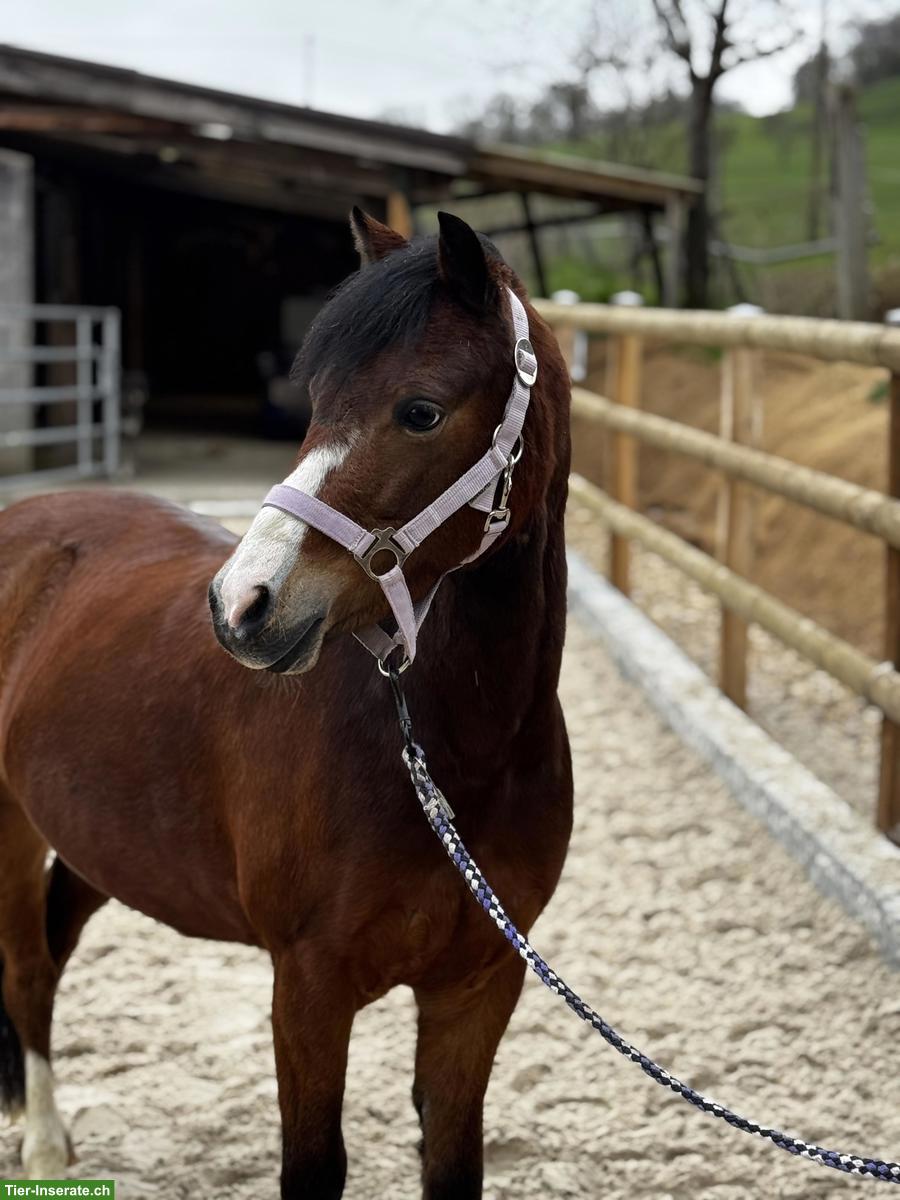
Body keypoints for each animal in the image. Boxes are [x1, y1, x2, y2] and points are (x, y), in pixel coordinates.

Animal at [0, 209, 573, 1198]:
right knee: (27, 970)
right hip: (7, 828)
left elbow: (453, 1160)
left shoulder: (478, 984)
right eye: (315, 402)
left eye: (420, 411)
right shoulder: (307, 986)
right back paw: (41, 1143)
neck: (460, 760)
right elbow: (312, 1166)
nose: (241, 606)